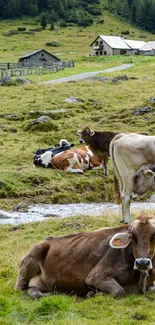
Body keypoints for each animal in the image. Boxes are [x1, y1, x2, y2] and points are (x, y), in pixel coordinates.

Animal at [15, 214, 155, 298]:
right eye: (133, 237)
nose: (142, 262)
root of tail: (46, 239)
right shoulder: (96, 276)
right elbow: (119, 291)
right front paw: (93, 293)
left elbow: (152, 289)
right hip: (32, 257)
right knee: (20, 287)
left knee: (33, 289)